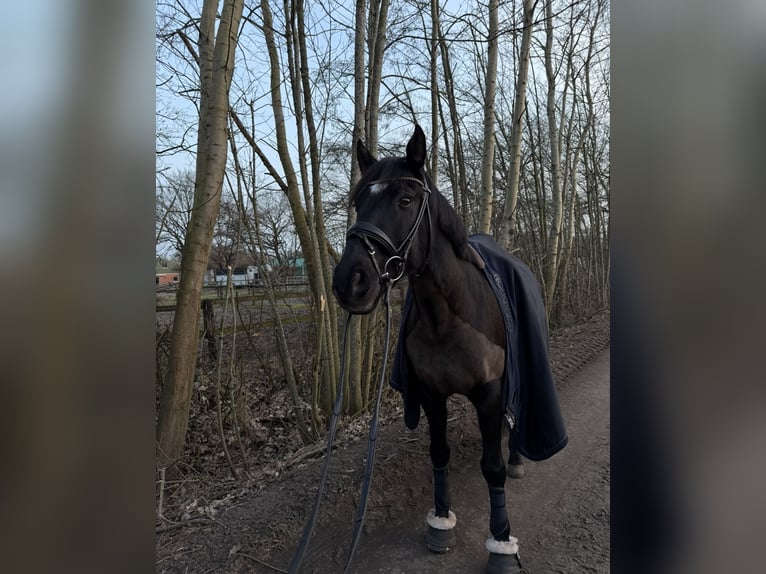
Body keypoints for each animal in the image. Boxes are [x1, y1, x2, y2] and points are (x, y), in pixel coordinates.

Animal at [332, 126, 568, 574]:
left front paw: (501, 541)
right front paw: (441, 521)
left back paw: (517, 461)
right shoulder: (430, 393)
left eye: (405, 200)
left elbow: (491, 466)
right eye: (358, 201)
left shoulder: (491, 393)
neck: (448, 316)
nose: (350, 282)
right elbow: (438, 453)